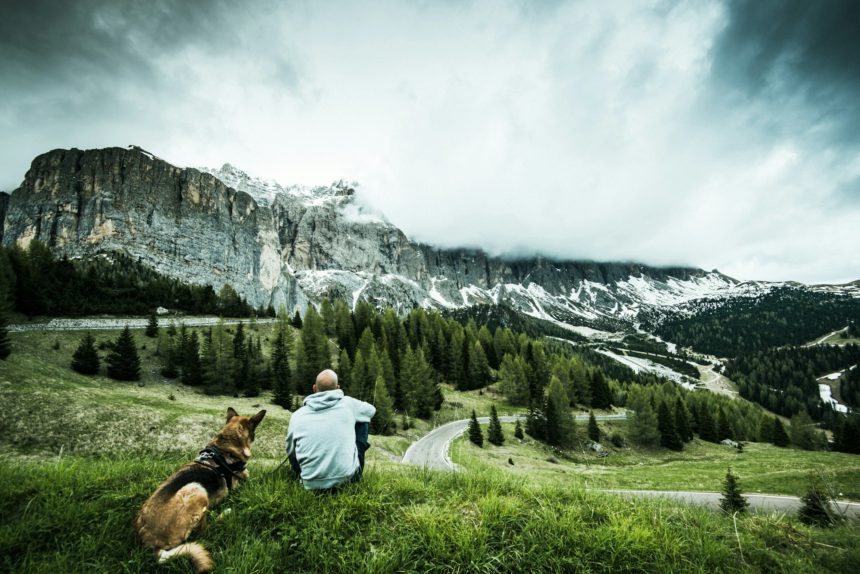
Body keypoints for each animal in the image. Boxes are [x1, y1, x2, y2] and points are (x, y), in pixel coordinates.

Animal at [135, 408, 266, 572]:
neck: (225, 448)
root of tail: (151, 544)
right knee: (205, 531)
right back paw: (225, 514)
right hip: (197, 489)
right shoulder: (242, 484)